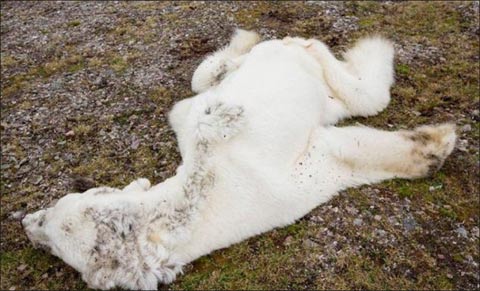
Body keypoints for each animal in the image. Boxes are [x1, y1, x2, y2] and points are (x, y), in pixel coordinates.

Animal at [22, 29, 458, 290]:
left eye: (52, 217)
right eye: (51, 244)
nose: (25, 222)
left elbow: (198, 121)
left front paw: (221, 118)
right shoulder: (301, 185)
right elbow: (345, 156)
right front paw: (434, 146)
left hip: (307, 60)